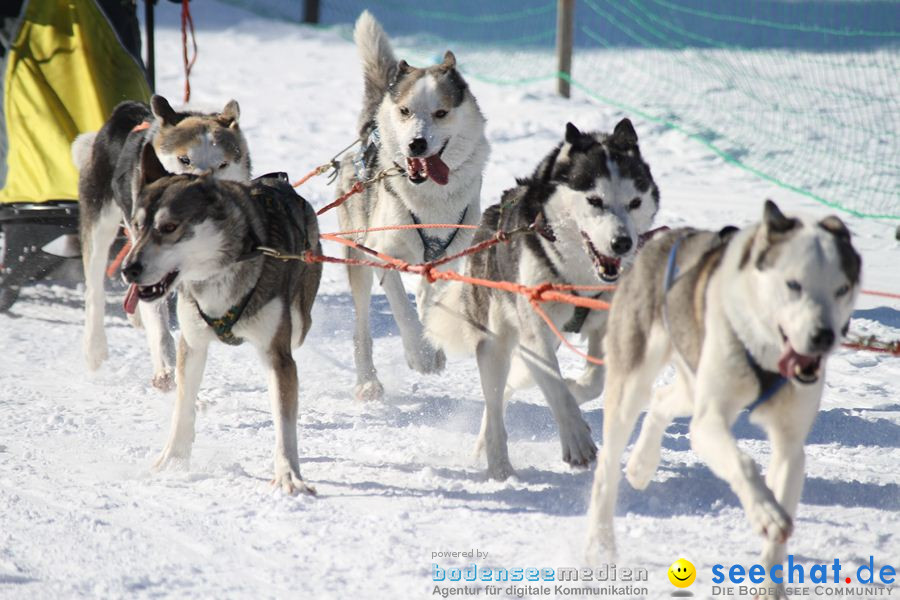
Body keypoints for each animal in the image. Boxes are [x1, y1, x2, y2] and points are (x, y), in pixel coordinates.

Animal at [72, 95, 250, 390]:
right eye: (184, 159)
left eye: (223, 165)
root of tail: (126, 110)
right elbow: (159, 321)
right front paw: (166, 367)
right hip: (99, 223)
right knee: (95, 289)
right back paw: (94, 347)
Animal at [121, 144, 322, 492]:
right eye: (136, 225)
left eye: (169, 227)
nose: (128, 269)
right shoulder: (192, 344)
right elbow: (183, 406)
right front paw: (172, 460)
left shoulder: (277, 355)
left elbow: (284, 423)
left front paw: (288, 475)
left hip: (299, 321)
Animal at [338, 9, 492, 400]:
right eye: (406, 110)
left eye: (441, 113)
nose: (416, 144)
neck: (430, 201)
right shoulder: (382, 252)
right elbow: (403, 309)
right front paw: (420, 354)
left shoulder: (448, 257)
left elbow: (428, 300)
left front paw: (431, 346)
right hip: (357, 258)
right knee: (362, 329)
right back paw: (367, 381)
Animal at [426, 120, 656, 478]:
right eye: (595, 200)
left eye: (634, 202)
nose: (622, 243)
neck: (580, 277)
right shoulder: (536, 332)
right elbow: (556, 388)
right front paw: (576, 438)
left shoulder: (605, 326)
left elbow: (593, 382)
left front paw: (576, 390)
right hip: (495, 344)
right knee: (494, 403)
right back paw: (499, 465)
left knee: (511, 386)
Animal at [588, 200, 860, 596]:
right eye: (793, 284)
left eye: (842, 289)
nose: (823, 336)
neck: (765, 352)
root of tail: (662, 238)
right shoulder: (710, 421)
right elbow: (743, 463)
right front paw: (766, 512)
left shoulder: (789, 444)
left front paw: (771, 585)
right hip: (632, 386)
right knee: (607, 468)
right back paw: (599, 544)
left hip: (692, 383)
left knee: (662, 400)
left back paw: (641, 464)